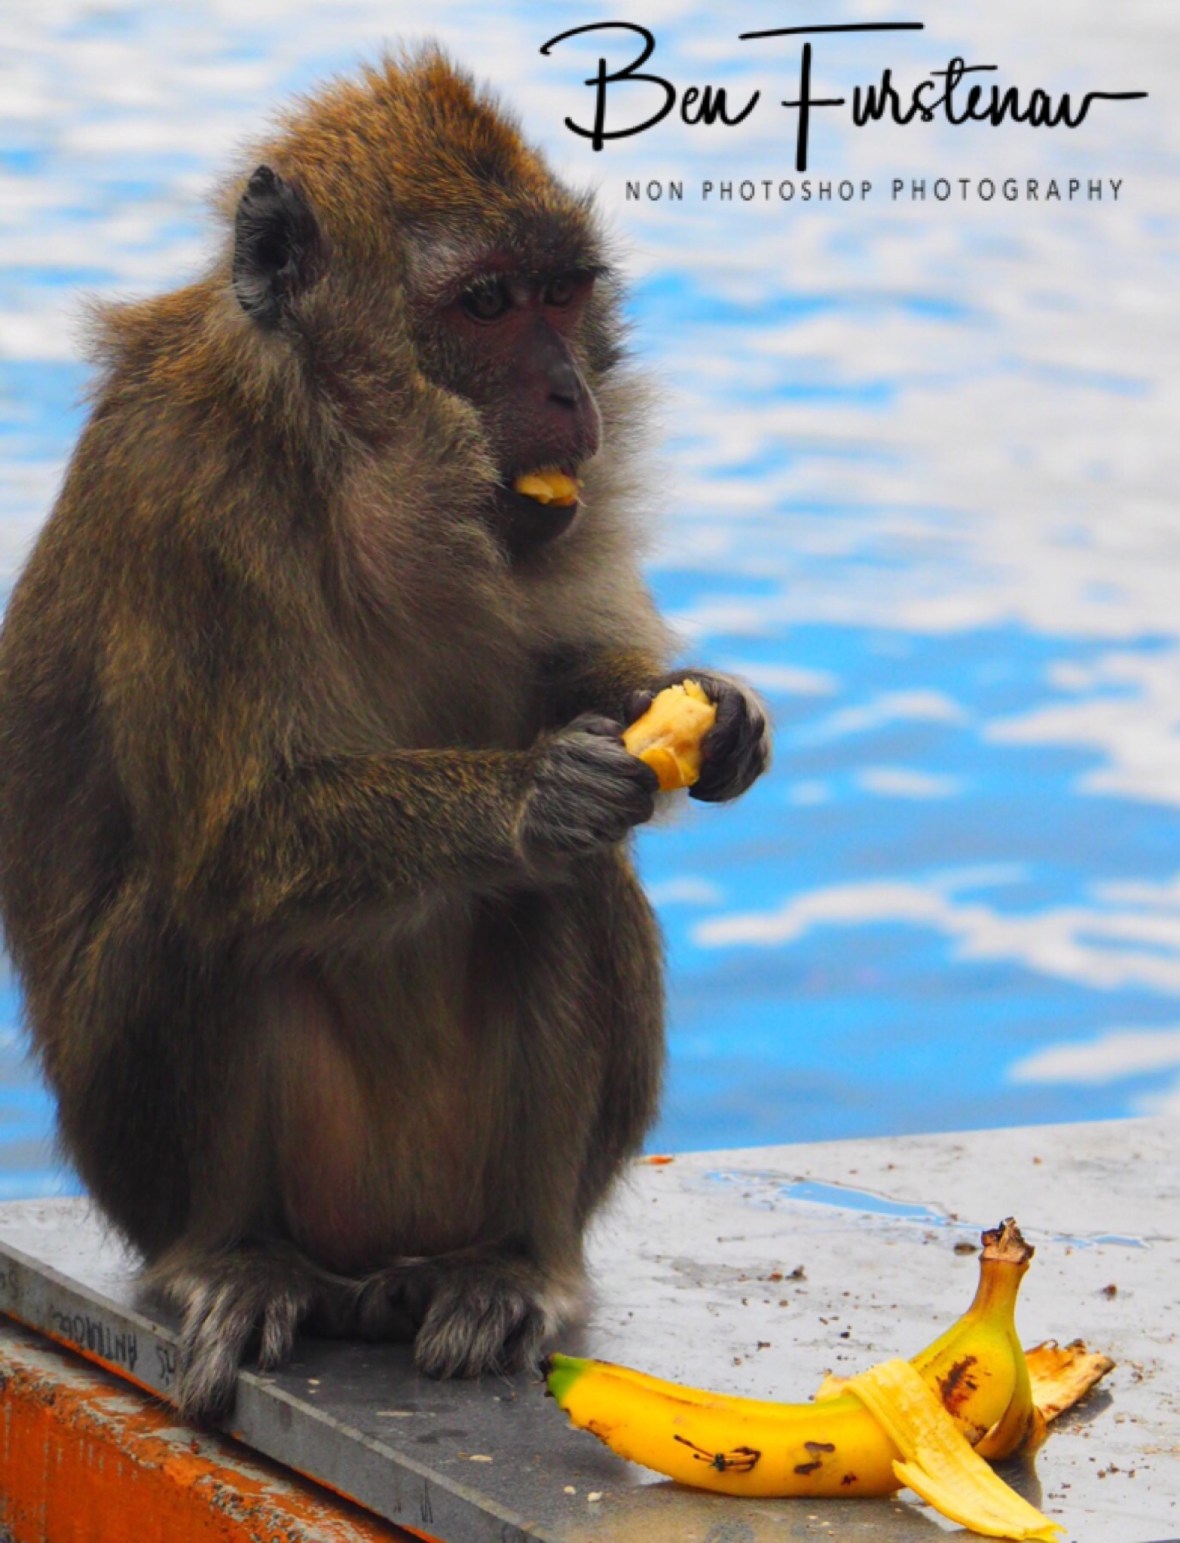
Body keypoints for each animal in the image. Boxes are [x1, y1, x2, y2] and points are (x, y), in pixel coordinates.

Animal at [0, 48, 770, 1421]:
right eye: (486, 304)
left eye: (564, 297)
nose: (571, 390)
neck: (353, 473)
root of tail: (367, 1267)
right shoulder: (184, 496)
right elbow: (233, 838)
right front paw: (533, 795)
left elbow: (576, 675)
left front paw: (703, 706)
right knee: (210, 911)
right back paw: (232, 1260)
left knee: (565, 895)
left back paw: (509, 1266)